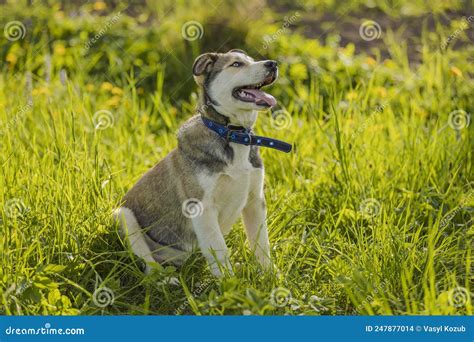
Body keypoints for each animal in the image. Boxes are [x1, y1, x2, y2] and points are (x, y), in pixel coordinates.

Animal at [114, 49, 290, 276]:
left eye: (252, 60)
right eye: (236, 64)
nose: (273, 64)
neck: (233, 135)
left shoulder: (255, 200)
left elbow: (261, 242)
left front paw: (270, 275)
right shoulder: (202, 207)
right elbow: (220, 249)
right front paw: (229, 282)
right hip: (122, 216)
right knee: (149, 267)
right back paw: (166, 279)